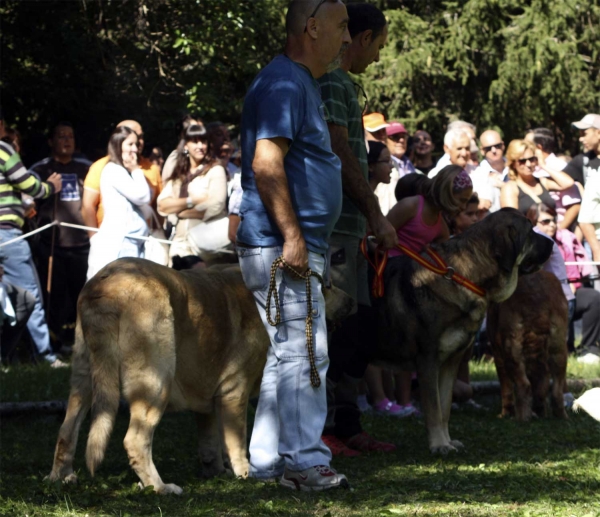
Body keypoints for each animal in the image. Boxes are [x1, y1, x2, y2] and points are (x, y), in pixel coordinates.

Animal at [49, 258, 354, 492]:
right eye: (325, 285)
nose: (355, 303)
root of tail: (104, 287)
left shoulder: (207, 395)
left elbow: (209, 439)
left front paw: (215, 470)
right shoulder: (234, 392)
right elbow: (235, 440)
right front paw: (244, 473)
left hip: (85, 381)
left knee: (66, 430)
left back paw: (61, 477)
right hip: (156, 383)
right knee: (135, 441)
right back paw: (159, 487)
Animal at [376, 209, 552, 452]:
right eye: (530, 232)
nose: (553, 242)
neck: (462, 276)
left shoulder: (449, 362)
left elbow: (444, 407)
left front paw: (447, 441)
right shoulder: (427, 360)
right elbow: (433, 408)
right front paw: (439, 445)